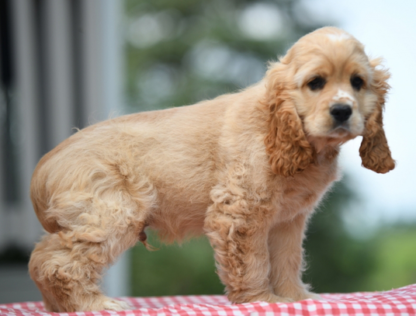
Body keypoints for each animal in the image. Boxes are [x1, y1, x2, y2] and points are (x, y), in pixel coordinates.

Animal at [28, 26, 394, 312]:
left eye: (357, 82)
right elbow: (254, 262)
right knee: (57, 264)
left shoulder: (288, 220)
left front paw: (295, 298)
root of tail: (44, 168)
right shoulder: (241, 211)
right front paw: (262, 300)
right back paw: (95, 305)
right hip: (111, 214)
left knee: (43, 256)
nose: (342, 111)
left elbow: (287, 260)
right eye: (316, 82)